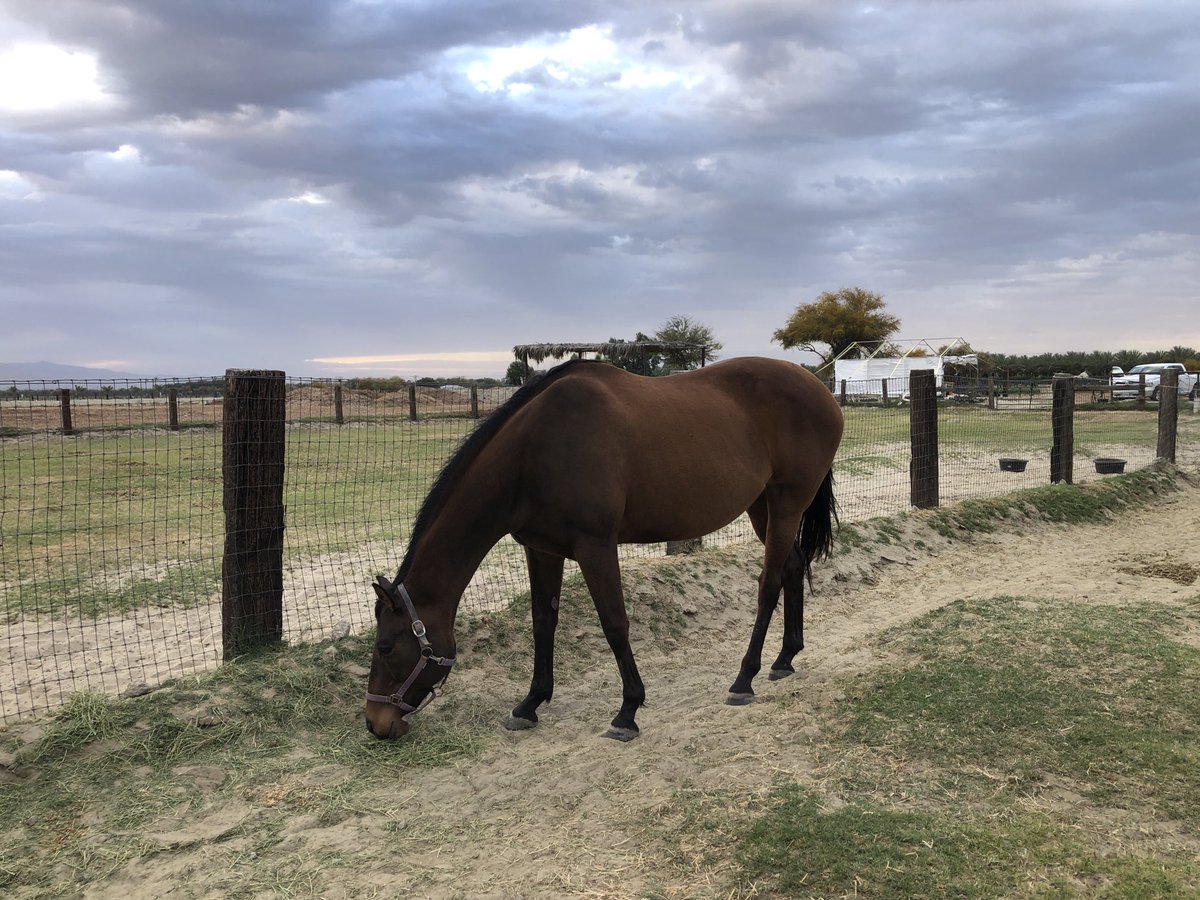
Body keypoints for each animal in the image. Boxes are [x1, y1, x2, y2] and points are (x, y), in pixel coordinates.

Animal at [364, 356, 844, 741]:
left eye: (386, 646)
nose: (376, 723)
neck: (534, 450)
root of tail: (822, 389)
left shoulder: (595, 547)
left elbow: (614, 623)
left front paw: (627, 710)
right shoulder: (542, 550)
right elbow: (543, 622)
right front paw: (530, 704)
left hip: (786, 504)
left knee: (768, 584)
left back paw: (745, 679)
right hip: (763, 507)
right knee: (792, 567)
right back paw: (785, 658)